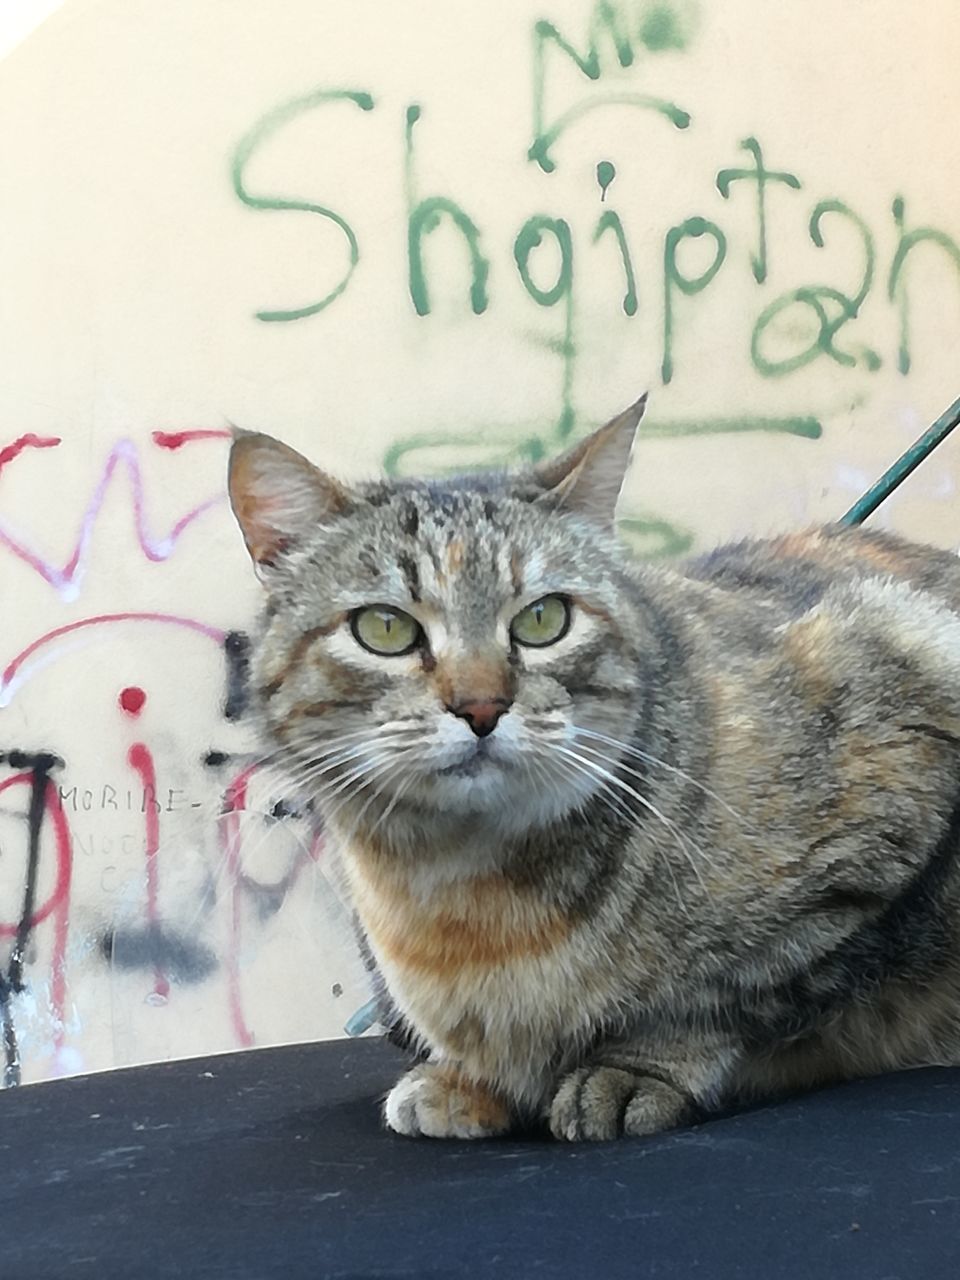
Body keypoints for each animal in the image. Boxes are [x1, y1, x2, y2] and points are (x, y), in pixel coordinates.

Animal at [229, 399, 960, 1141]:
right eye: (385, 628)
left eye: (543, 619)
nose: (482, 706)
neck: (457, 895)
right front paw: (469, 1080)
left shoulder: (903, 735)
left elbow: (729, 995)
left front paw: (636, 1067)